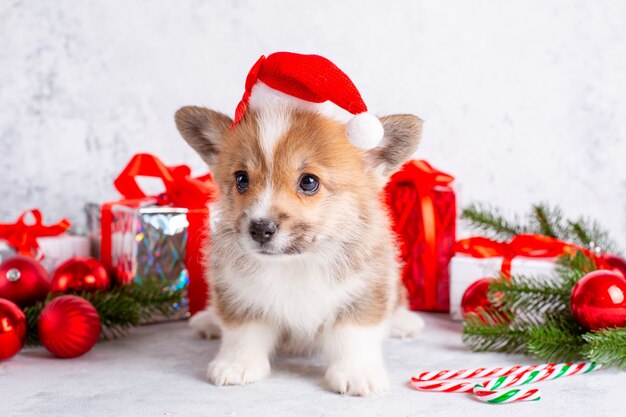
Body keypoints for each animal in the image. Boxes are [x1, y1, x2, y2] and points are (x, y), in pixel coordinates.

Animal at [176, 53, 424, 394]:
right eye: (241, 179)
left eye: (308, 182)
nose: (260, 228)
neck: (296, 262)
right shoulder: (236, 290)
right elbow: (242, 332)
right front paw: (236, 365)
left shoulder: (365, 289)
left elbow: (354, 334)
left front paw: (356, 373)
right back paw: (207, 320)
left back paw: (402, 322)